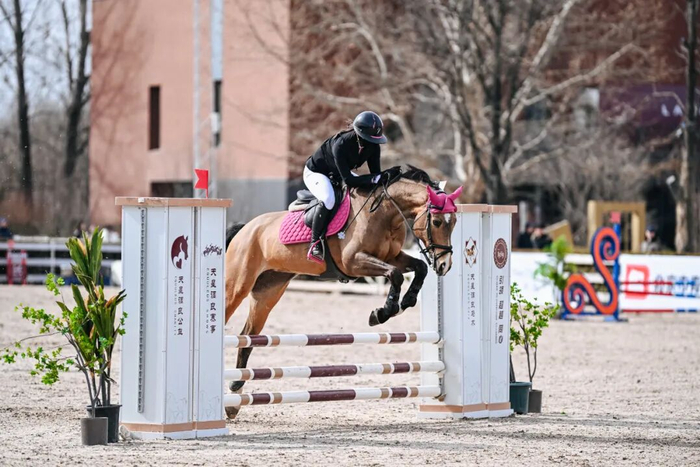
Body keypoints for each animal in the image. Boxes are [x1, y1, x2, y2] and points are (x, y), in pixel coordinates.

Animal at [223, 167, 462, 415]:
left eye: (454, 221)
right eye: (437, 222)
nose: (444, 265)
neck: (384, 214)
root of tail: (246, 228)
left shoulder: (392, 257)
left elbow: (419, 268)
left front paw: (404, 303)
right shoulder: (353, 262)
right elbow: (395, 274)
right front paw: (382, 312)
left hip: (268, 292)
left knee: (246, 337)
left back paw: (235, 394)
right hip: (238, 285)